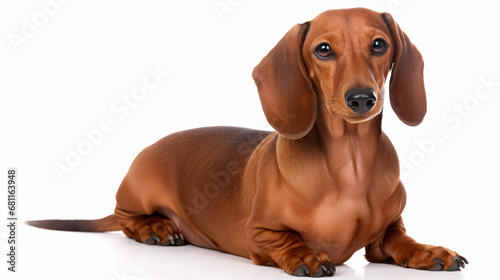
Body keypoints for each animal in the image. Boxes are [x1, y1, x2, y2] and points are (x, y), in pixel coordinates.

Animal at [28, 7, 464, 276]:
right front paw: (305, 255)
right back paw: (157, 228)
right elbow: (287, 239)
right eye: (323, 49)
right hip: (137, 193)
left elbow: (399, 239)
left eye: (379, 44)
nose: (362, 98)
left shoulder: (387, 232)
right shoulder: (259, 233)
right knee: (124, 218)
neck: (350, 166)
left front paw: (428, 251)